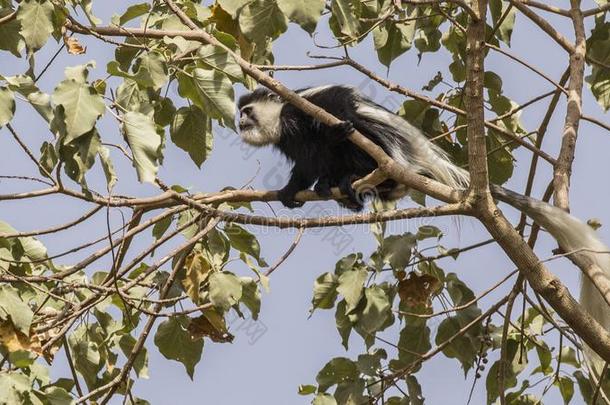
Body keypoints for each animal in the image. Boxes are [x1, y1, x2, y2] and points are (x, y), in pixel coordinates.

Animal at [239, 84, 610, 376]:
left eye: (246, 111)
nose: (239, 122)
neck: (282, 121)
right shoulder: (294, 144)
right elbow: (306, 166)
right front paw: (291, 191)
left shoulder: (305, 104)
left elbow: (339, 105)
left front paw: (338, 129)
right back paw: (343, 189)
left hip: (382, 147)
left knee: (361, 135)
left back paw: (355, 174)